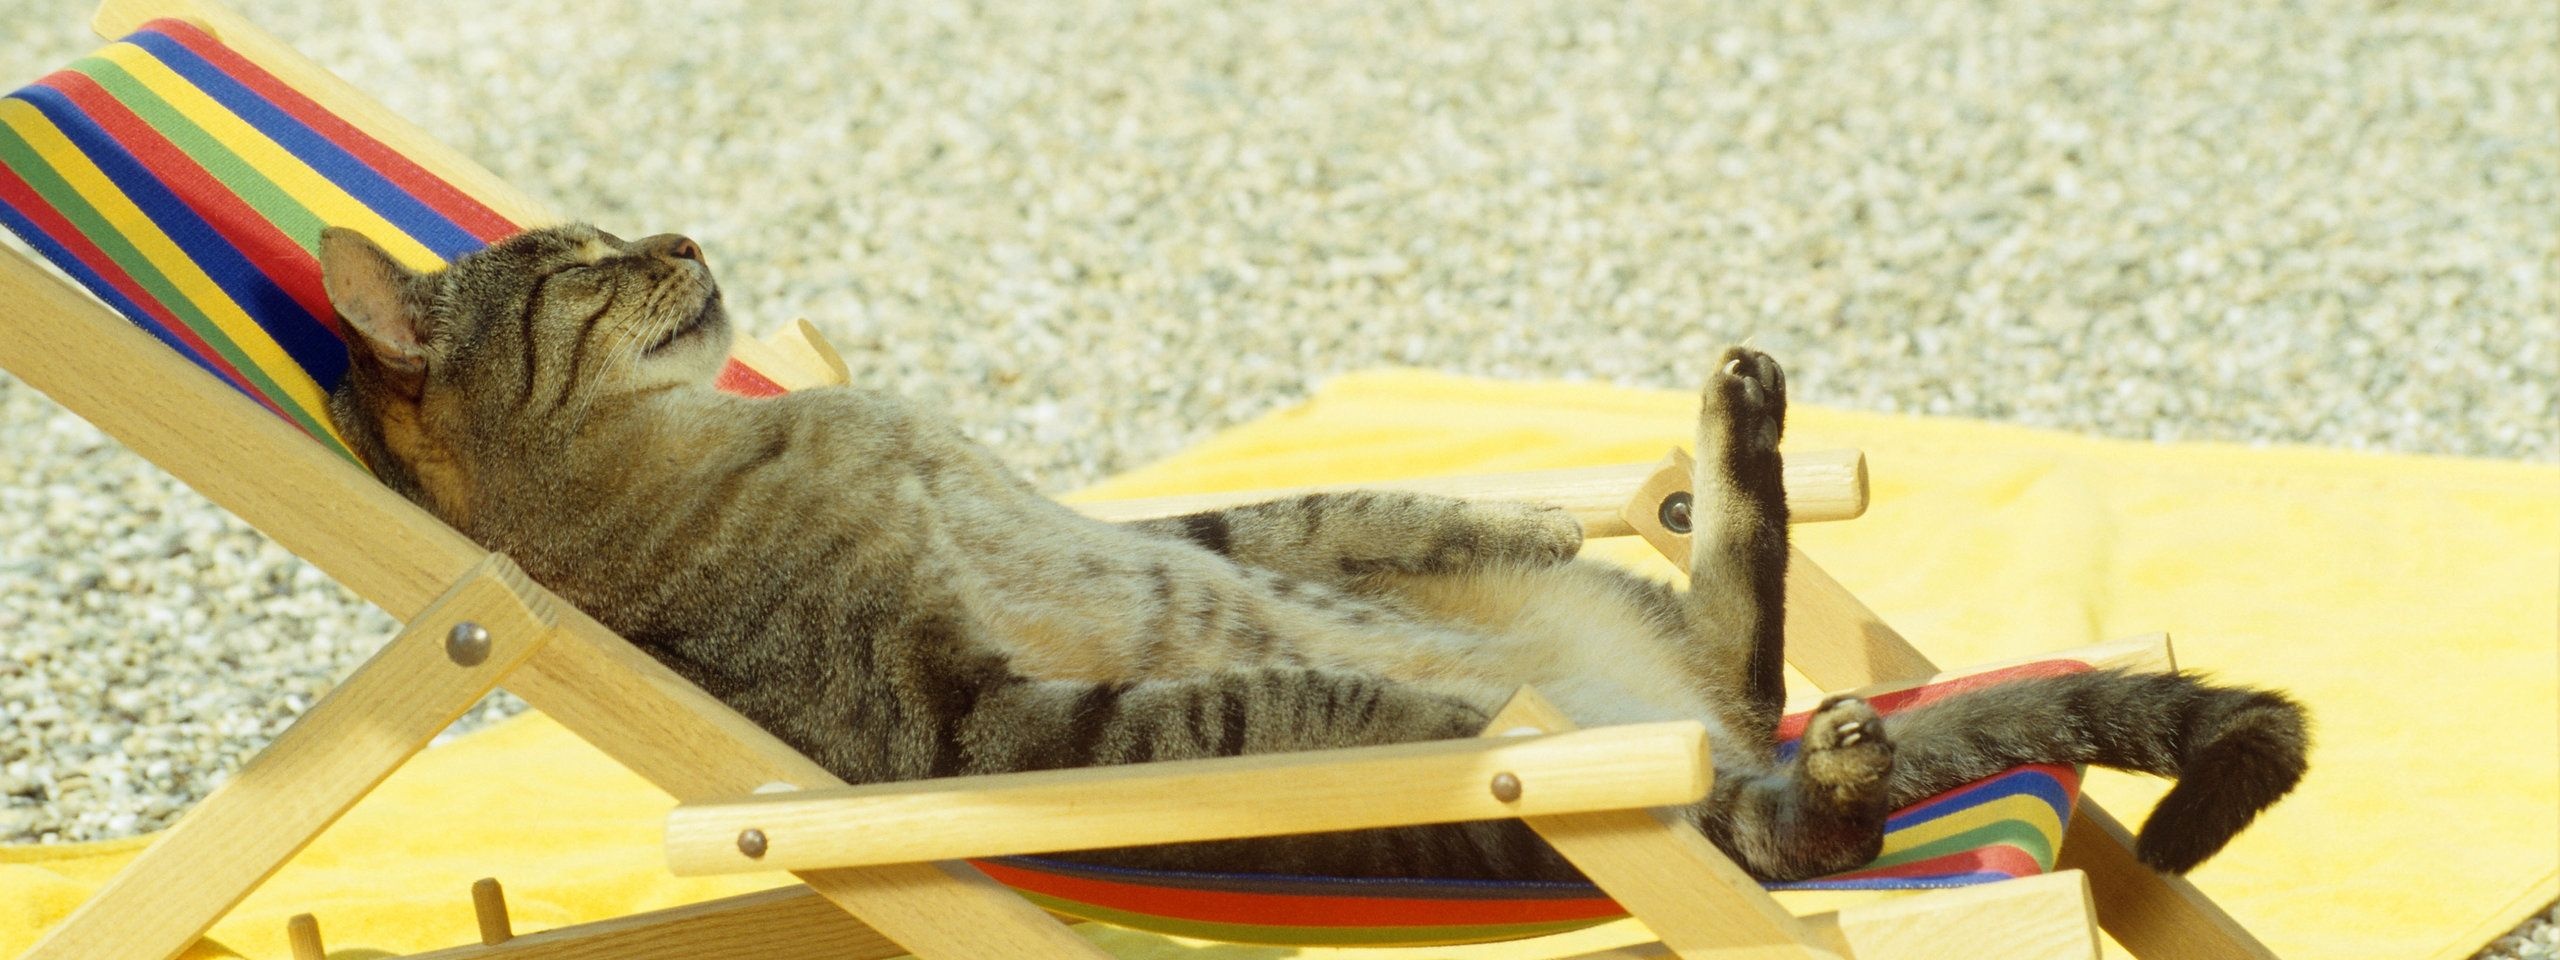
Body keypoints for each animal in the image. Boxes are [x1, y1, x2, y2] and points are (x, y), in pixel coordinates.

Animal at [314, 221, 2304, 885]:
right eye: (585, 262)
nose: (676, 234)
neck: (717, 437)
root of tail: (1722, 750)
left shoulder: (1119, 516)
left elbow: (1302, 522)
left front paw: (1479, 508)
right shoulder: (960, 730)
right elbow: (1248, 702)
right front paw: (1405, 707)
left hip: (1650, 638)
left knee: (1741, 645)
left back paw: (1733, 442)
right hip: (1600, 806)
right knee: (1790, 815)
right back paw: (1820, 766)